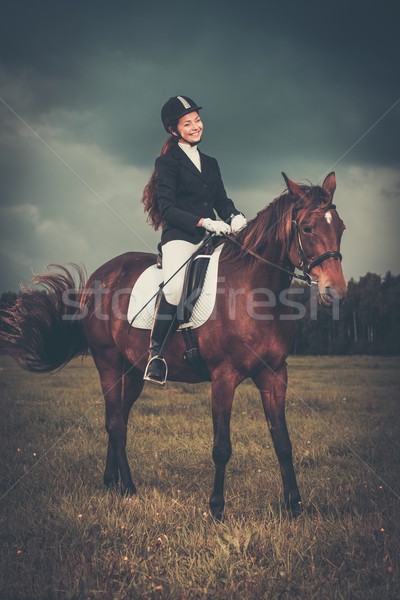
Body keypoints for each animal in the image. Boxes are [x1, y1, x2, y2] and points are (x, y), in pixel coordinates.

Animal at [0, 171, 346, 516]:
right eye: (307, 228)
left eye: (341, 227)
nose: (336, 291)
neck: (255, 293)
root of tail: (100, 277)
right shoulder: (223, 377)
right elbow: (222, 447)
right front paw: (216, 508)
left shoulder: (274, 375)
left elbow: (283, 442)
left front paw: (294, 505)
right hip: (108, 361)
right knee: (116, 424)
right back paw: (128, 488)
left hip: (132, 370)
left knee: (117, 419)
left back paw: (112, 482)